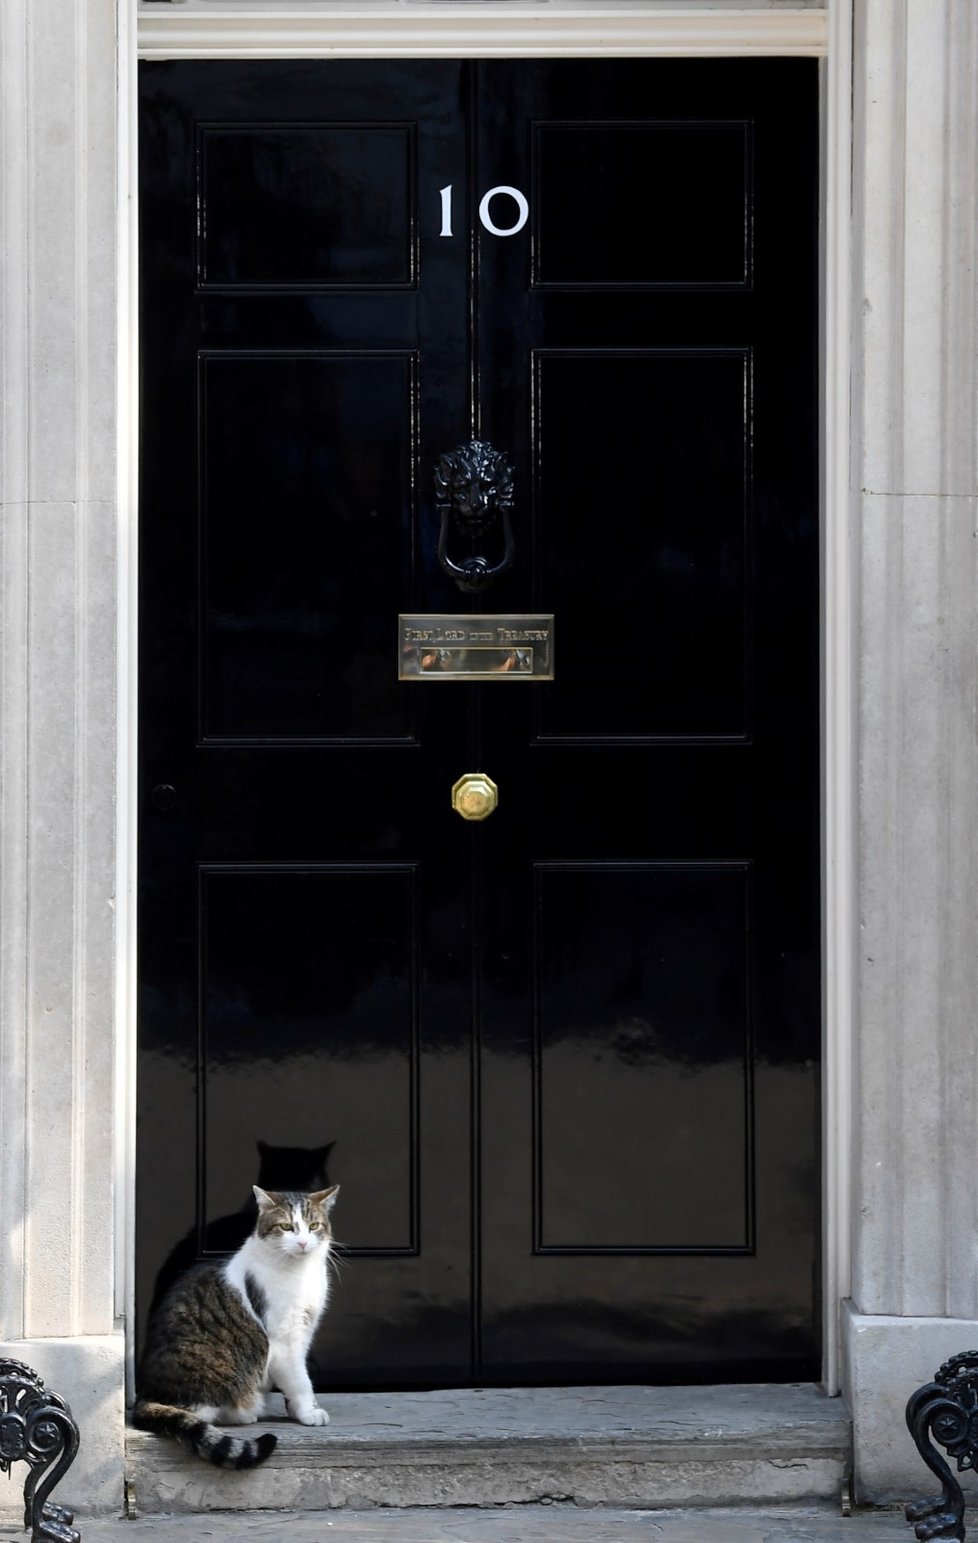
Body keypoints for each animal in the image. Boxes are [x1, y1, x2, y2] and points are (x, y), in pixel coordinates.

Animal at [132, 1185, 339, 1462]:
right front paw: (309, 1412)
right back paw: (244, 1413)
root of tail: (145, 1394)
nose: (303, 1243)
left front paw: (296, 1411)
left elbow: (295, 1381)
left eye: (313, 1225)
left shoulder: (304, 1333)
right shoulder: (284, 1341)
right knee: (195, 1416)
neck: (301, 1272)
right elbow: (300, 1381)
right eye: (286, 1226)